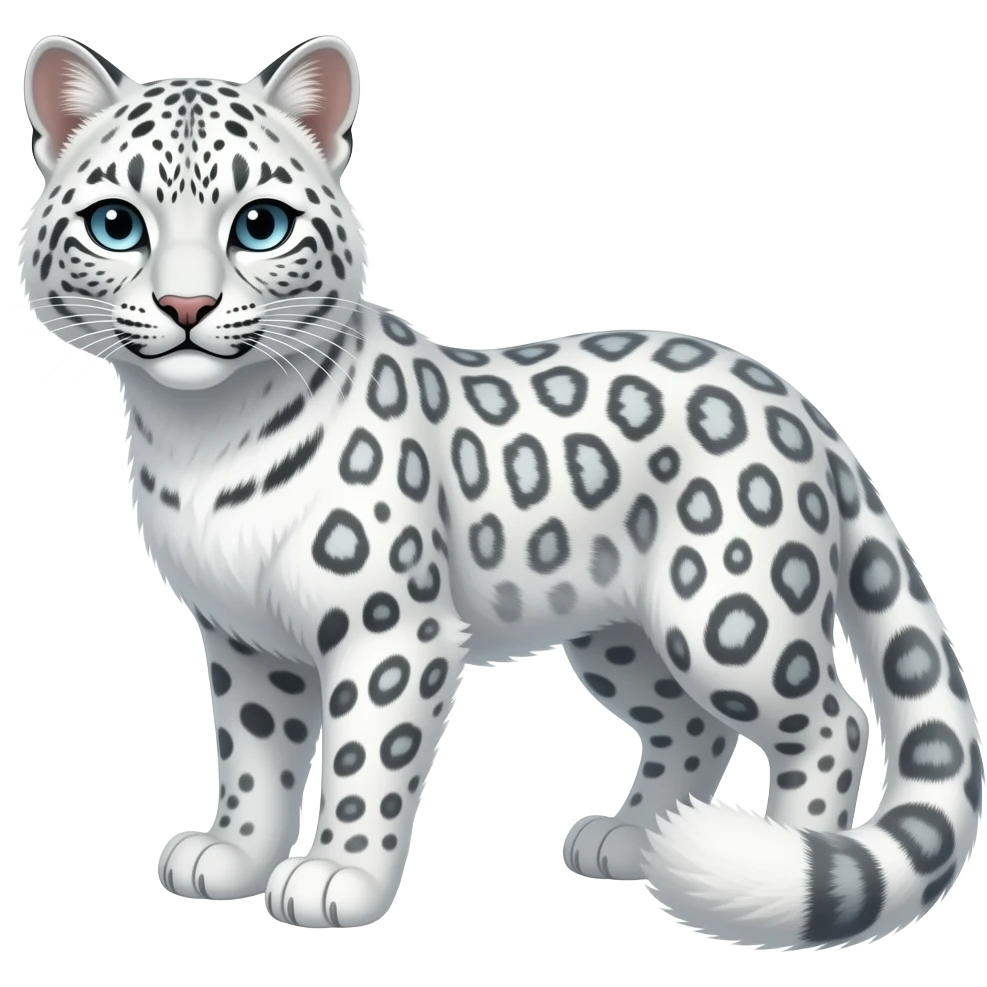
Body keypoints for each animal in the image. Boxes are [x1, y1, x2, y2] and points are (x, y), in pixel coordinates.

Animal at [17, 32, 982, 947]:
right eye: (117, 224)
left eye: (260, 224)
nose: (186, 307)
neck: (199, 437)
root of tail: (795, 400)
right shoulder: (244, 638)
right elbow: (255, 756)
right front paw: (232, 853)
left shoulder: (388, 630)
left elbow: (366, 762)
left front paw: (337, 875)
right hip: (621, 637)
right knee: (691, 726)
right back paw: (637, 839)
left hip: (729, 615)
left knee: (830, 718)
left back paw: (780, 853)